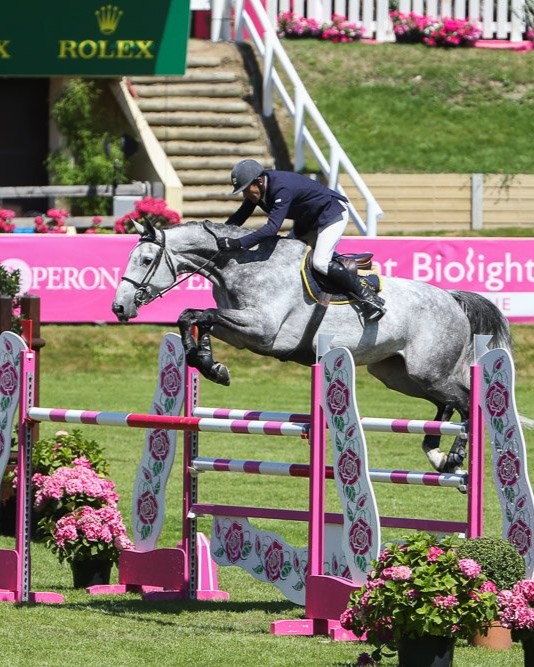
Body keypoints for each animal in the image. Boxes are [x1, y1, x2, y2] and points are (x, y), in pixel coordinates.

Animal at [112, 218, 513, 475]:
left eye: (145, 260)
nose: (119, 308)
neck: (240, 265)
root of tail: (452, 298)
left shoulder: (263, 330)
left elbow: (199, 315)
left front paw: (211, 365)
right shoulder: (241, 332)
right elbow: (193, 317)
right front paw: (209, 364)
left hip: (428, 370)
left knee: (465, 402)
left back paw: (453, 458)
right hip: (399, 375)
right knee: (446, 403)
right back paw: (436, 454)